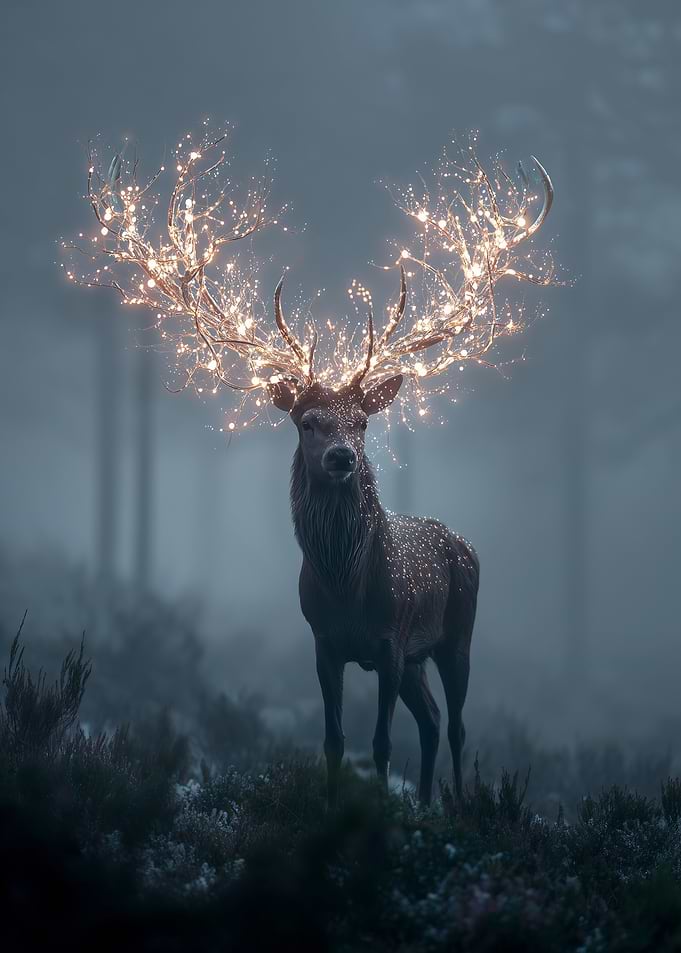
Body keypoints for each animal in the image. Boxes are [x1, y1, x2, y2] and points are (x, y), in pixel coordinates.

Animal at [68, 128, 554, 808]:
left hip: (458, 632)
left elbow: (379, 743)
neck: (345, 587)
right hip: (420, 658)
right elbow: (332, 739)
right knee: (432, 720)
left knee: (456, 724)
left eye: (362, 423)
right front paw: (331, 802)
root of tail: (463, 542)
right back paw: (427, 802)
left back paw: (457, 803)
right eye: (307, 421)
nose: (342, 457)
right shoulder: (325, 644)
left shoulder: (391, 640)